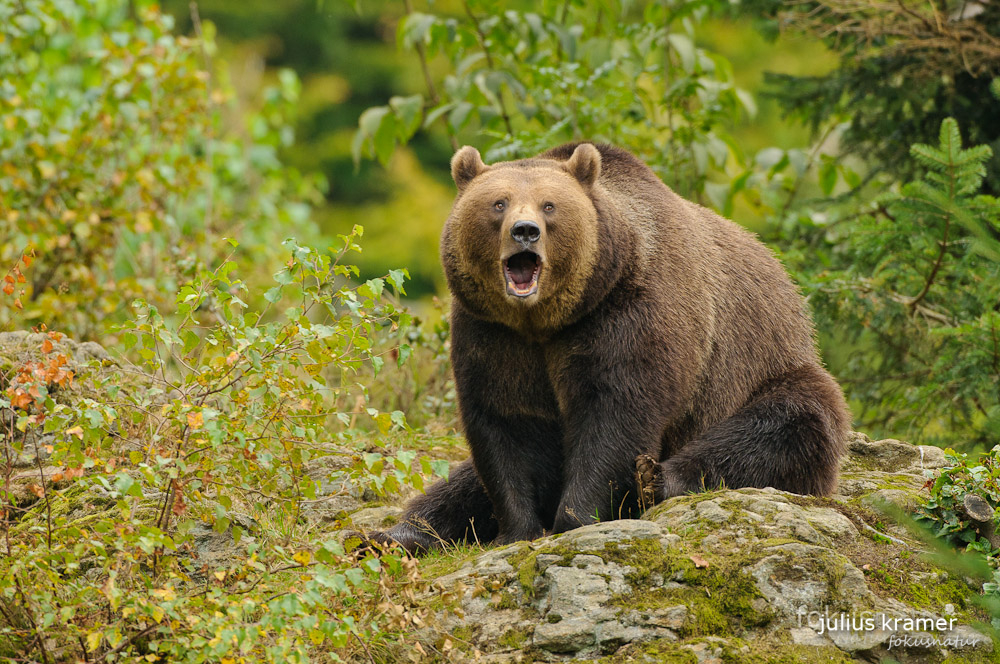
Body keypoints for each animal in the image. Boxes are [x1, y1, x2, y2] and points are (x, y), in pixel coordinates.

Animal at [372, 143, 848, 552]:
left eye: (549, 205)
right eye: (499, 203)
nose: (525, 232)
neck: (545, 322)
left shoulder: (626, 314)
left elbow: (616, 410)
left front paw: (575, 517)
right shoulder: (492, 333)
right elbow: (506, 421)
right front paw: (518, 528)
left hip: (761, 369)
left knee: (786, 425)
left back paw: (659, 478)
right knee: (457, 485)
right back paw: (395, 534)